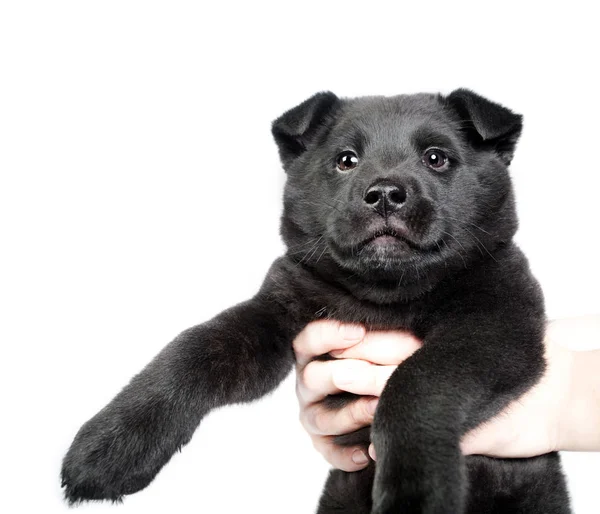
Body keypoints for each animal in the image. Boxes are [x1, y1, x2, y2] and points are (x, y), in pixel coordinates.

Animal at [62, 90, 572, 510]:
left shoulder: (496, 324)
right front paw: (108, 448)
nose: (384, 193)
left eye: (436, 158)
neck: (387, 293)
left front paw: (415, 492)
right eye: (346, 159)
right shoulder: (277, 310)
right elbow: (194, 347)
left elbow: (416, 382)